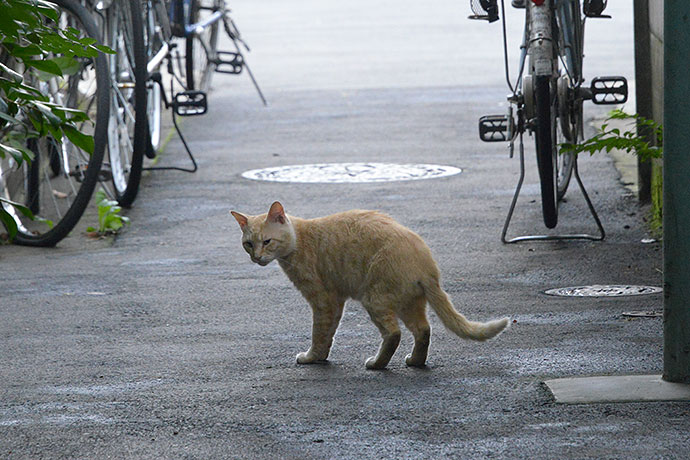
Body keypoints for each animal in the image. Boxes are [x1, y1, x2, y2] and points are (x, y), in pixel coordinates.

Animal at [230, 201, 506, 370]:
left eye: (267, 241)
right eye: (248, 244)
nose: (256, 257)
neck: (300, 239)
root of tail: (425, 263)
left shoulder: (323, 299)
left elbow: (319, 333)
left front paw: (312, 357)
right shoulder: (335, 301)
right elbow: (328, 333)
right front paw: (321, 356)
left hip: (375, 298)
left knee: (394, 334)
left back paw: (376, 364)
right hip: (408, 303)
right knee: (423, 330)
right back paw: (415, 361)